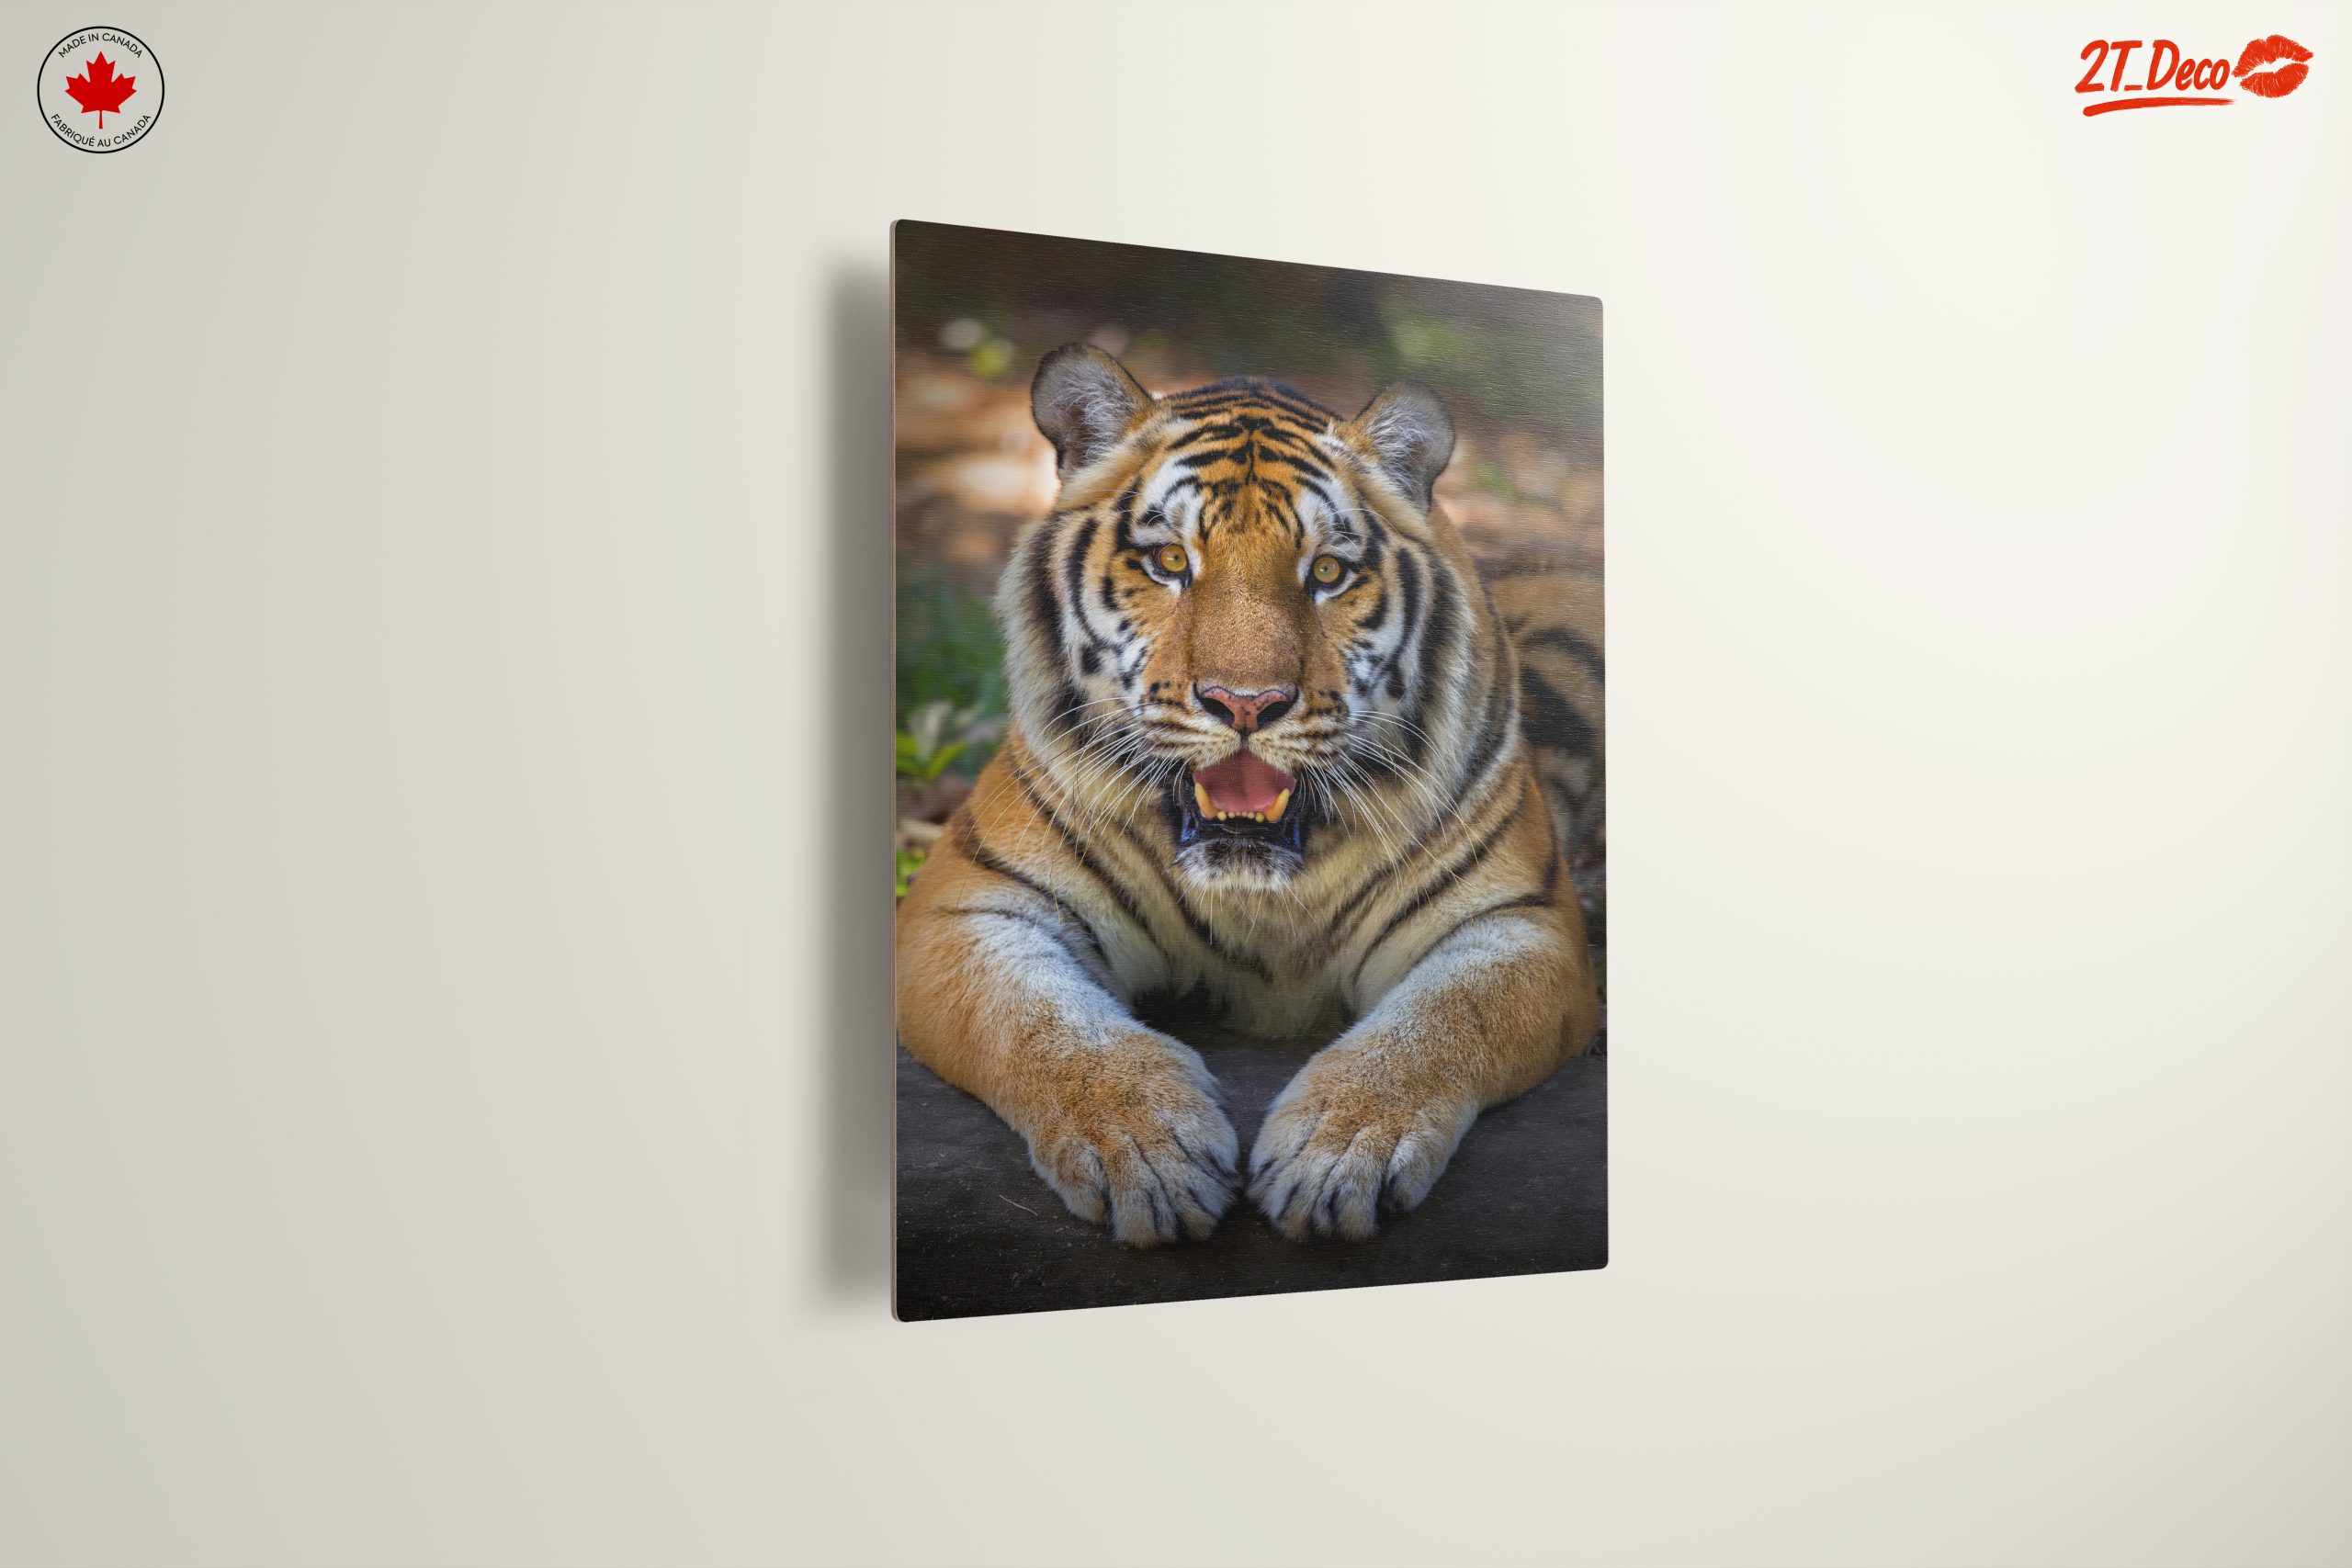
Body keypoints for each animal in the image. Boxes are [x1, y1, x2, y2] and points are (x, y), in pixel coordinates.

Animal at [894, 344, 1601, 1247]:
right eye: (1169, 562)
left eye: (1328, 573)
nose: (1245, 704)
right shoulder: (968, 907)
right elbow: (1043, 1025)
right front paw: (1147, 1149)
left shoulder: (1519, 923)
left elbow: (1438, 1027)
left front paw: (1335, 1153)